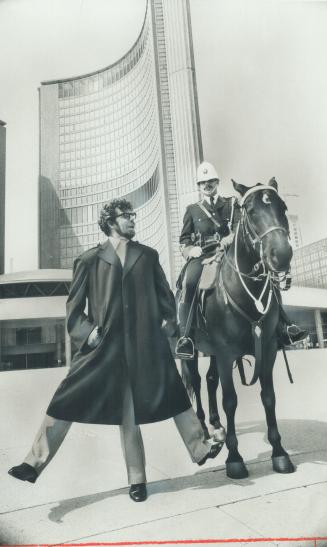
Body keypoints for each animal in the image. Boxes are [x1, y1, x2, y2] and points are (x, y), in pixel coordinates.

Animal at [181, 180, 296, 480]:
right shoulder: (225, 353)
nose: (282, 255)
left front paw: (279, 453)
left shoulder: (267, 349)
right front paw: (234, 458)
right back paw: (204, 430)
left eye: (283, 207)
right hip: (194, 350)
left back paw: (217, 425)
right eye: (251, 211)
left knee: (210, 380)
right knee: (197, 382)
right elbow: (230, 400)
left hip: (212, 351)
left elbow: (268, 397)